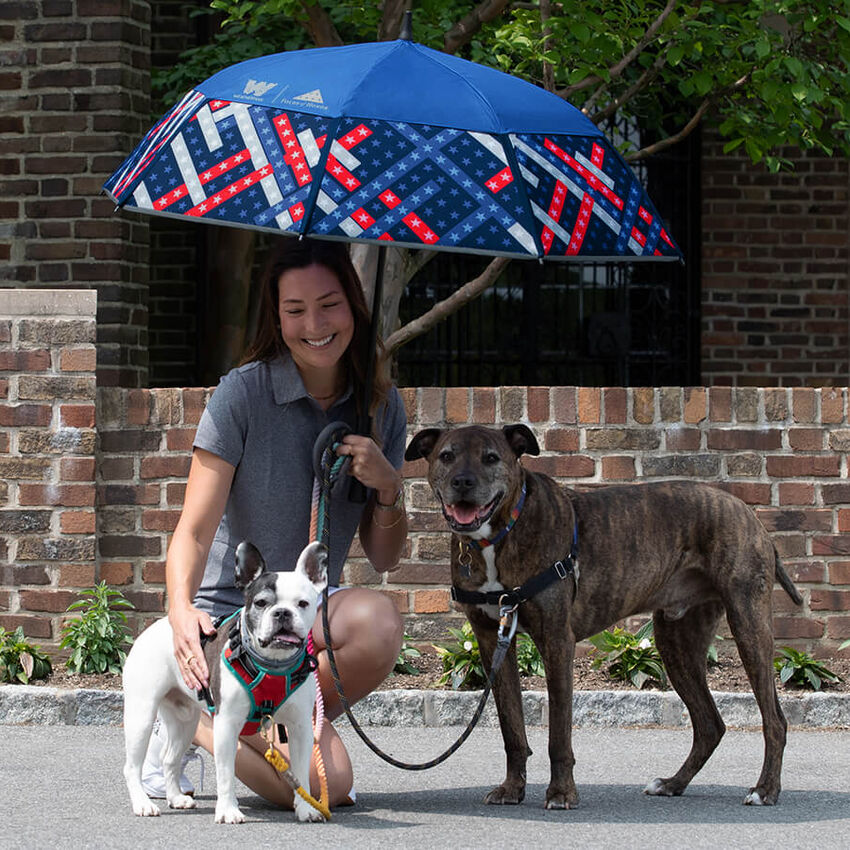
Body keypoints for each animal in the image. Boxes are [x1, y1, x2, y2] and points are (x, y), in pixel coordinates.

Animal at [404, 424, 800, 808]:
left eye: (491, 457)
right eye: (447, 456)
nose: (462, 483)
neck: (502, 532)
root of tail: (750, 514)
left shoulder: (556, 640)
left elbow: (558, 733)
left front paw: (562, 793)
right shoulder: (491, 639)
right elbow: (511, 726)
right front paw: (512, 789)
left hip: (748, 623)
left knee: (774, 721)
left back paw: (765, 790)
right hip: (677, 641)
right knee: (709, 724)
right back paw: (673, 784)